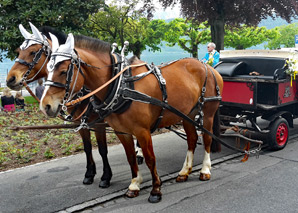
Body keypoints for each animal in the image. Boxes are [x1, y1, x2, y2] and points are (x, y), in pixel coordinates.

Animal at [5, 22, 113, 187]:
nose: (10, 79)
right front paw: (89, 173)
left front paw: (106, 176)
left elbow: (102, 149)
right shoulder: (79, 123)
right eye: (18, 51)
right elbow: (87, 147)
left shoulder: (99, 122)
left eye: (33, 52)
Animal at [40, 33, 224, 203]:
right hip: (187, 115)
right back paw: (185, 172)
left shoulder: (142, 131)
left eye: (63, 71)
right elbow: (130, 157)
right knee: (192, 139)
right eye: (48, 70)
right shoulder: (122, 132)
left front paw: (156, 190)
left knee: (207, 139)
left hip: (207, 113)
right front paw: (134, 185)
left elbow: (150, 159)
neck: (122, 85)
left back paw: (205, 170)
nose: (45, 106)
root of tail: (208, 67)